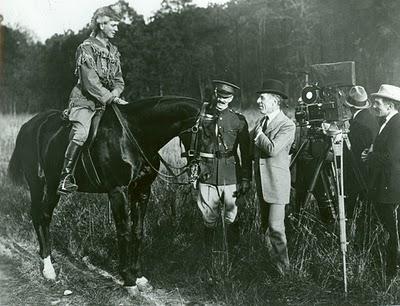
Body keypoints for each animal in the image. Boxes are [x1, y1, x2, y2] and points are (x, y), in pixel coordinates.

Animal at [6, 97, 200, 292]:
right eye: (205, 132)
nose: (202, 172)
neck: (135, 134)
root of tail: (29, 124)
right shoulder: (118, 191)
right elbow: (124, 231)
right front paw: (128, 280)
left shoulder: (142, 190)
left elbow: (138, 231)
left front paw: (138, 276)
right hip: (40, 184)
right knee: (41, 215)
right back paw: (48, 268)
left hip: (52, 187)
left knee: (42, 216)